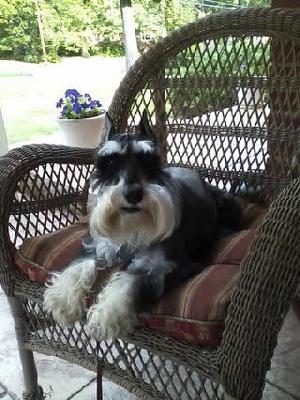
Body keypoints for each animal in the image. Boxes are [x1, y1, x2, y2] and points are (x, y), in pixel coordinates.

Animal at [43, 111, 240, 340]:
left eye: (148, 159)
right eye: (110, 160)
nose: (133, 193)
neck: (131, 228)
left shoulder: (164, 266)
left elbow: (130, 280)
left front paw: (107, 315)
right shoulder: (98, 246)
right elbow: (79, 265)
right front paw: (62, 299)